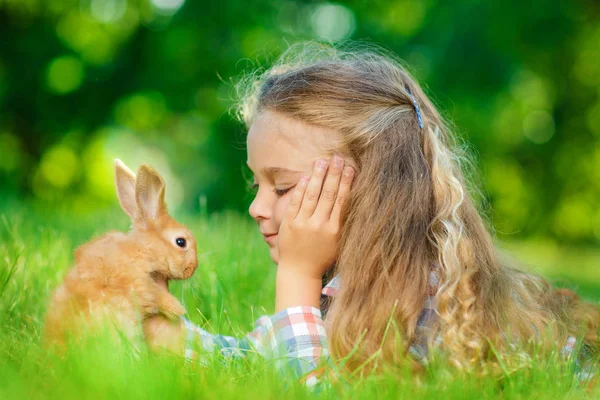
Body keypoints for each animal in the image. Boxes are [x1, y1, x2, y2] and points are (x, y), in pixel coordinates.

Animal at [45, 159, 199, 350]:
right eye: (181, 242)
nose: (193, 267)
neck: (142, 250)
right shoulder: (139, 282)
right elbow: (157, 295)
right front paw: (177, 308)